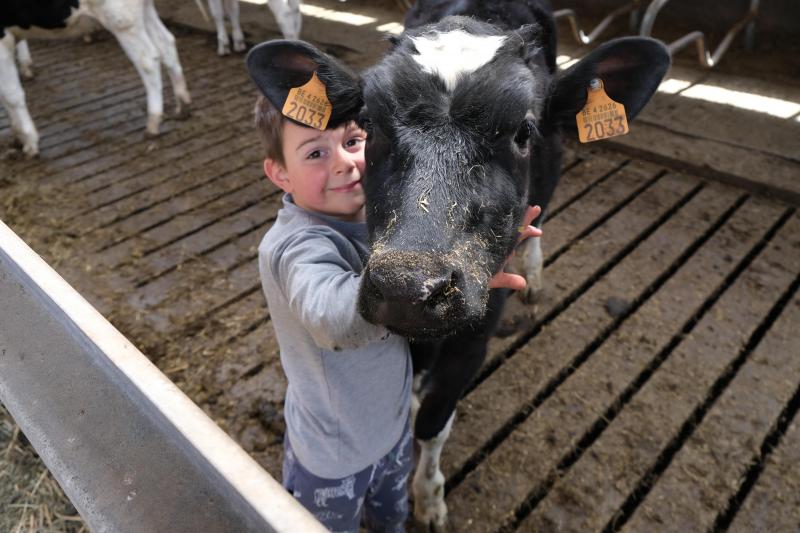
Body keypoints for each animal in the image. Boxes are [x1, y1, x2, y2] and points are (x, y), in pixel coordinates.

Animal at [0, 0, 192, 157]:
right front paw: (18, 137)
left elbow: (12, 95)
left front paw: (30, 140)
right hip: (142, 12)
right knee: (167, 42)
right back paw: (182, 105)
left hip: (121, 19)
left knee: (148, 59)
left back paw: (153, 123)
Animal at [248, 0, 668, 524]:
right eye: (369, 125)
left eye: (523, 131)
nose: (408, 286)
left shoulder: (475, 335)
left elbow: (433, 421)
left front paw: (429, 497)